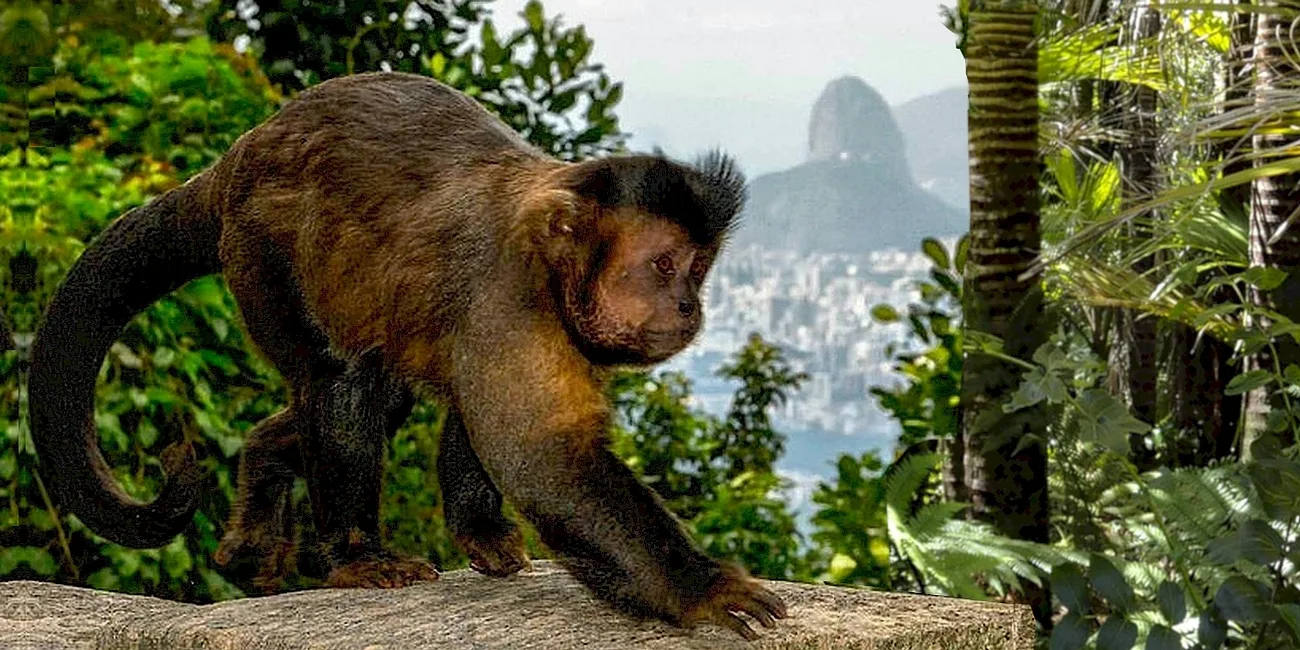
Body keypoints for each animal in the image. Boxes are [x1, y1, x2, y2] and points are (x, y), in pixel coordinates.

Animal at [28, 71, 787, 639]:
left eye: (698, 270)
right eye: (663, 266)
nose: (688, 305)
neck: (549, 254)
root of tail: (239, 156)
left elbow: (483, 424)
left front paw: (480, 531)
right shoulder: (505, 289)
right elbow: (540, 456)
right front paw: (704, 588)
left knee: (369, 391)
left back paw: (263, 471)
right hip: (259, 249)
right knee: (342, 378)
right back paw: (355, 554)